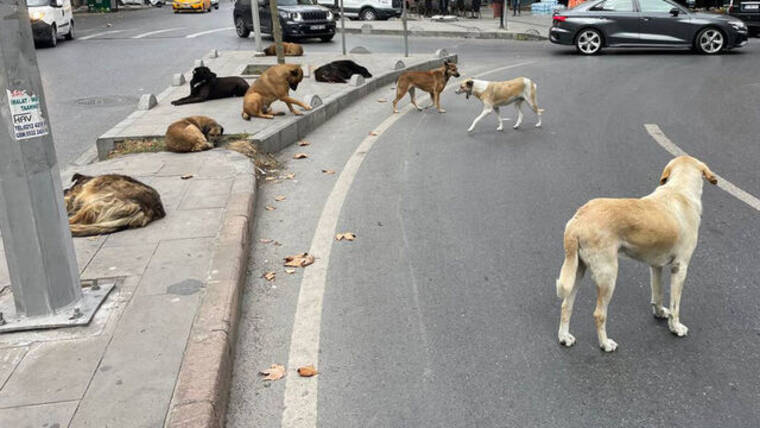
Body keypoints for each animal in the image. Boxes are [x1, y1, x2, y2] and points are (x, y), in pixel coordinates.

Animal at [556, 155, 716, 352]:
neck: (679, 190)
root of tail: (577, 220)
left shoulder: (656, 266)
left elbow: (658, 294)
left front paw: (660, 313)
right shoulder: (680, 268)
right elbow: (675, 305)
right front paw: (675, 327)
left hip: (577, 271)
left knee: (566, 305)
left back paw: (564, 337)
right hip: (608, 276)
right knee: (599, 314)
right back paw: (605, 344)